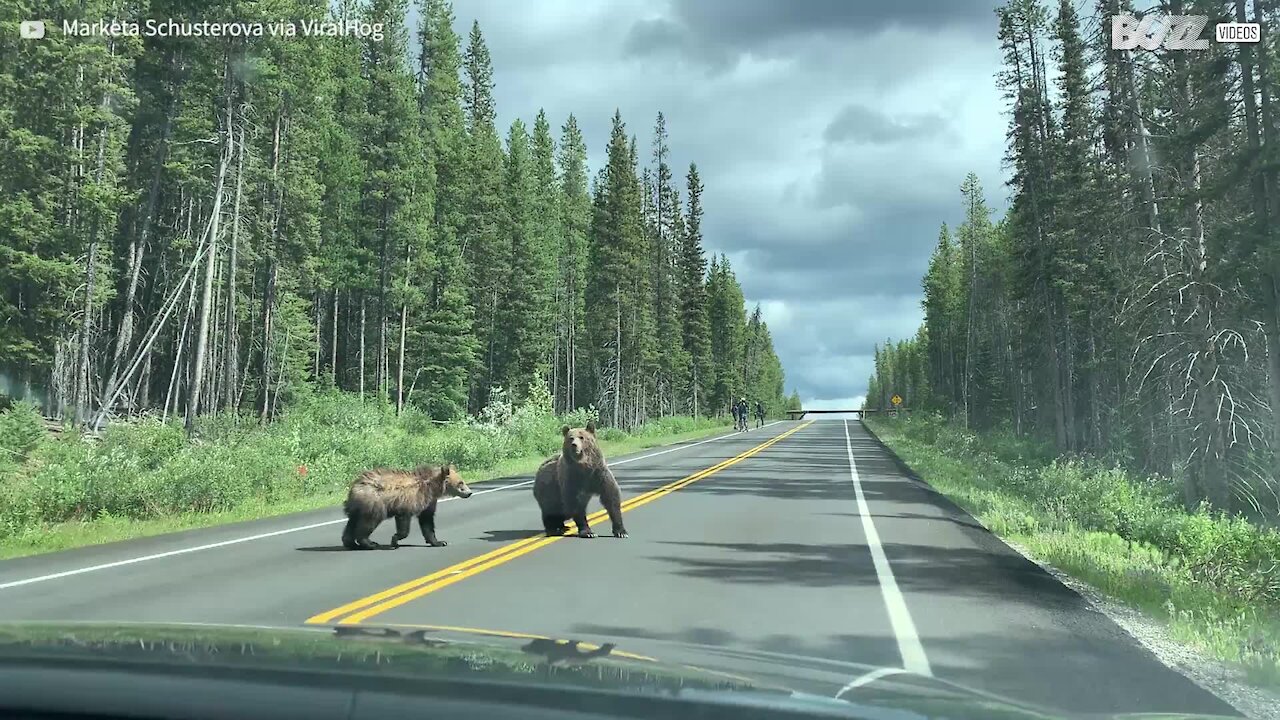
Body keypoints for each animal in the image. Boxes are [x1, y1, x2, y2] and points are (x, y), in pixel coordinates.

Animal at [343, 461, 473, 545]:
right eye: (461, 483)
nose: (469, 492)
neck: (432, 487)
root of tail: (356, 485)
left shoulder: (429, 502)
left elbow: (427, 521)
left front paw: (439, 541)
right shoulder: (409, 500)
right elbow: (404, 521)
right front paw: (395, 539)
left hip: (358, 506)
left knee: (352, 521)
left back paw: (350, 543)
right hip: (374, 502)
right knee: (369, 521)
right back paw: (369, 542)